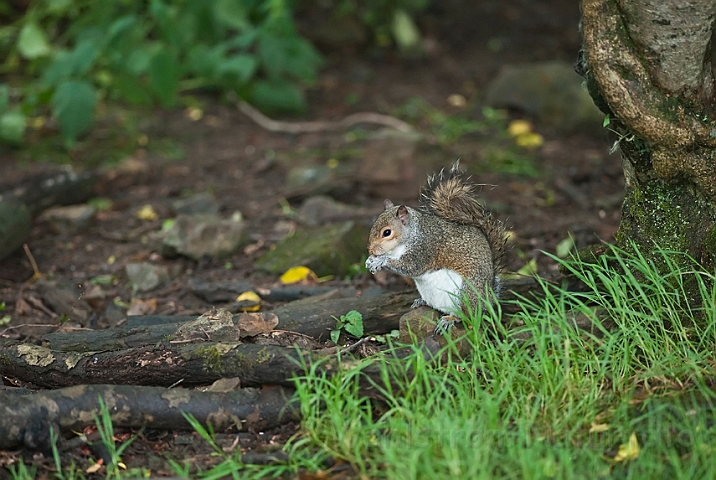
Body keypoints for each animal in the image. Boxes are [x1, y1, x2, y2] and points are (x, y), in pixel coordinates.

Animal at [366, 161, 506, 330]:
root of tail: (488, 298)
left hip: (465, 293)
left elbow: (411, 266)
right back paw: (422, 301)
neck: (413, 233)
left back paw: (451, 319)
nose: (370, 249)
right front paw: (370, 260)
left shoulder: (425, 247)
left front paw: (381, 260)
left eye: (387, 232)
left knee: (466, 315)